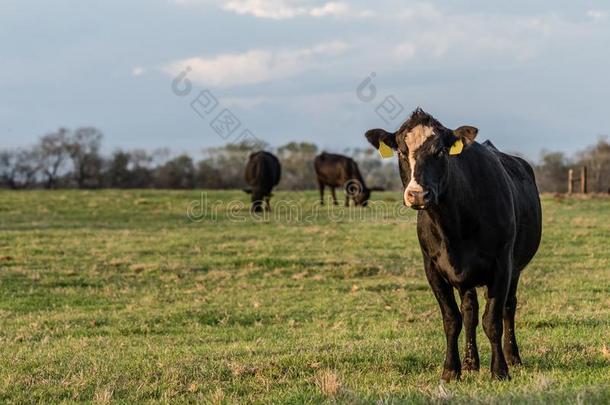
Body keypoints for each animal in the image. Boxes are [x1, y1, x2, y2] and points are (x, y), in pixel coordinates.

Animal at [364, 107, 540, 378]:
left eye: (440, 151)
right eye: (401, 151)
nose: (417, 194)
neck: (455, 227)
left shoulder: (503, 265)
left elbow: (493, 320)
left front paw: (499, 371)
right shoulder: (433, 268)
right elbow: (452, 319)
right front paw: (451, 369)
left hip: (516, 268)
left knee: (508, 307)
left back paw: (513, 358)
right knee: (469, 312)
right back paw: (470, 362)